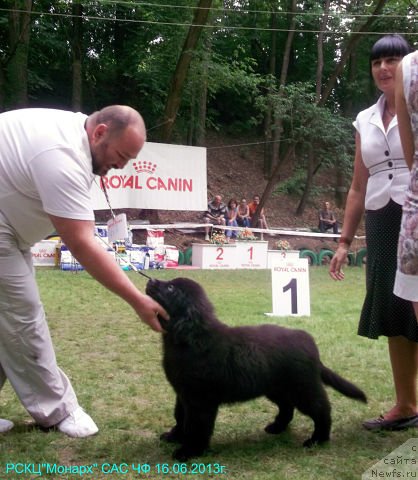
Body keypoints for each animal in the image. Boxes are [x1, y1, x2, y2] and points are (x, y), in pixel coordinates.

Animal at [146, 278, 366, 462]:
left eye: (170, 288)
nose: (151, 281)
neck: (190, 338)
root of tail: (310, 343)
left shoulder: (200, 400)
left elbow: (195, 426)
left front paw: (189, 451)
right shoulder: (183, 394)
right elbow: (180, 416)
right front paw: (174, 436)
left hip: (303, 388)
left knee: (322, 410)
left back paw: (318, 440)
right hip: (277, 388)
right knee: (287, 407)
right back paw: (277, 427)